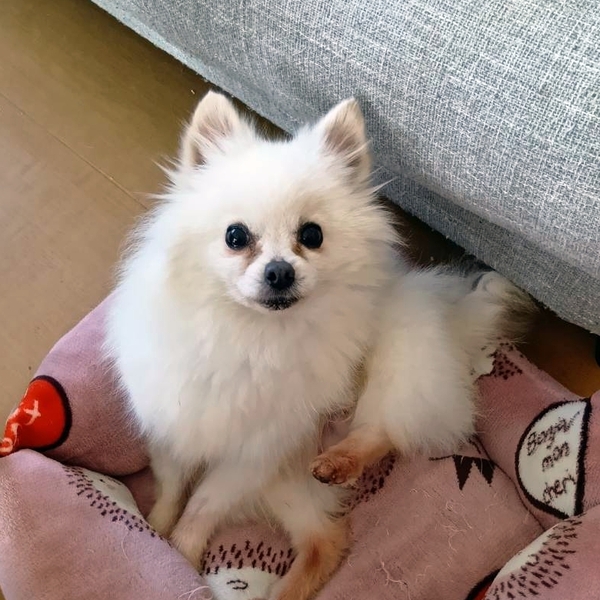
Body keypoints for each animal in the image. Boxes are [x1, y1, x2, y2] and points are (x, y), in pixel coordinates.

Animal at [106, 91, 533, 600]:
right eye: (235, 236)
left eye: (312, 235)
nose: (279, 271)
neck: (254, 337)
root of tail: (451, 320)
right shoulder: (174, 423)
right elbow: (172, 486)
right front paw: (154, 528)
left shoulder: (253, 457)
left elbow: (203, 505)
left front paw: (180, 555)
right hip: (289, 485)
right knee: (325, 540)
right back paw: (286, 588)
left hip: (396, 366)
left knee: (383, 430)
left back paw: (340, 461)